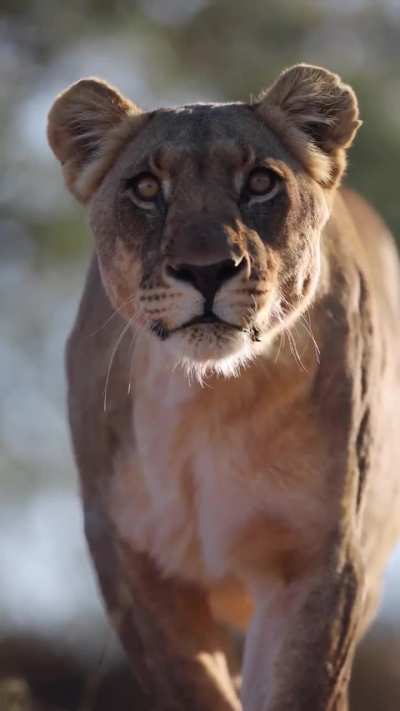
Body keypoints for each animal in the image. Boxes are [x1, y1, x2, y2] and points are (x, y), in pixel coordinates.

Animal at [47, 64, 400, 710]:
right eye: (145, 188)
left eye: (260, 182)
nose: (206, 269)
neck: (206, 401)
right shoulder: (133, 568)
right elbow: (196, 692)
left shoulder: (320, 560)